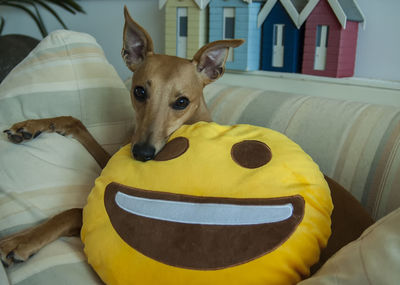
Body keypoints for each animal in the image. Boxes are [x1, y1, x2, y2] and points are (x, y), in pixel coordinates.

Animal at [0, 6, 376, 276]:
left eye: (181, 101)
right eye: (139, 91)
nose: (142, 154)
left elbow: (76, 209)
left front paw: (21, 240)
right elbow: (75, 122)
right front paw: (31, 126)